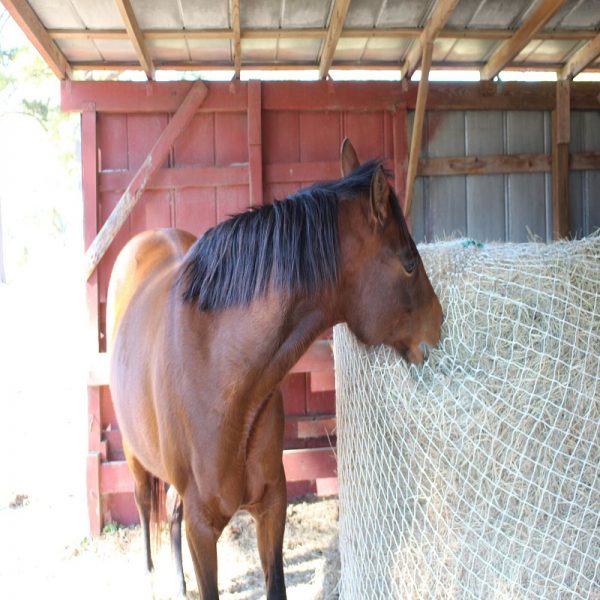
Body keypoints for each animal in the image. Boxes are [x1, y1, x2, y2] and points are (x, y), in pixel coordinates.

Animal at [108, 138, 442, 596]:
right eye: (409, 262)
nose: (440, 325)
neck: (218, 372)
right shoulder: (202, 529)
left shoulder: (272, 506)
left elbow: (275, 583)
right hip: (134, 456)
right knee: (144, 508)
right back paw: (153, 574)